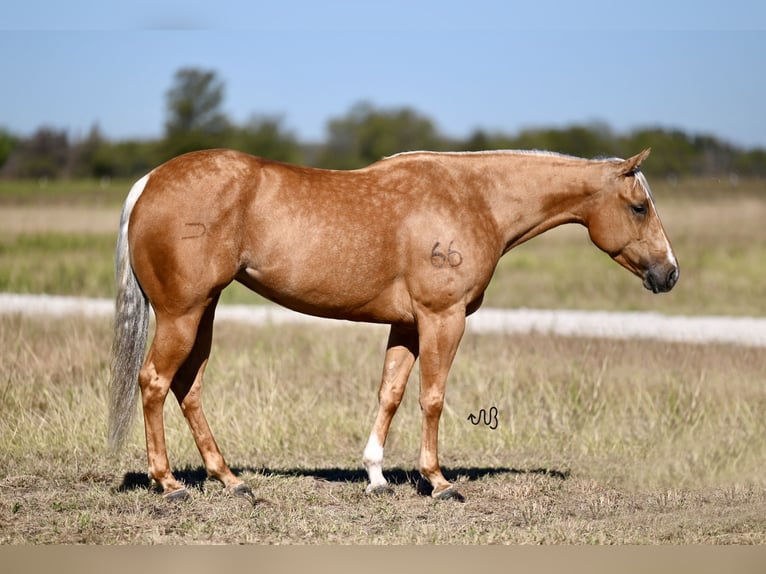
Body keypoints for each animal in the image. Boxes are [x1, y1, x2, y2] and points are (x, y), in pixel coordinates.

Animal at [108, 150, 680, 504]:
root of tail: (149, 182)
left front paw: (377, 477)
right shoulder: (442, 318)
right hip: (183, 314)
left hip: (203, 311)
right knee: (155, 382)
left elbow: (391, 394)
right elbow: (432, 397)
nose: (669, 273)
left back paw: (231, 480)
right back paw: (170, 484)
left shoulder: (406, 327)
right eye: (639, 206)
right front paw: (439, 481)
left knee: (188, 387)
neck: (474, 198)